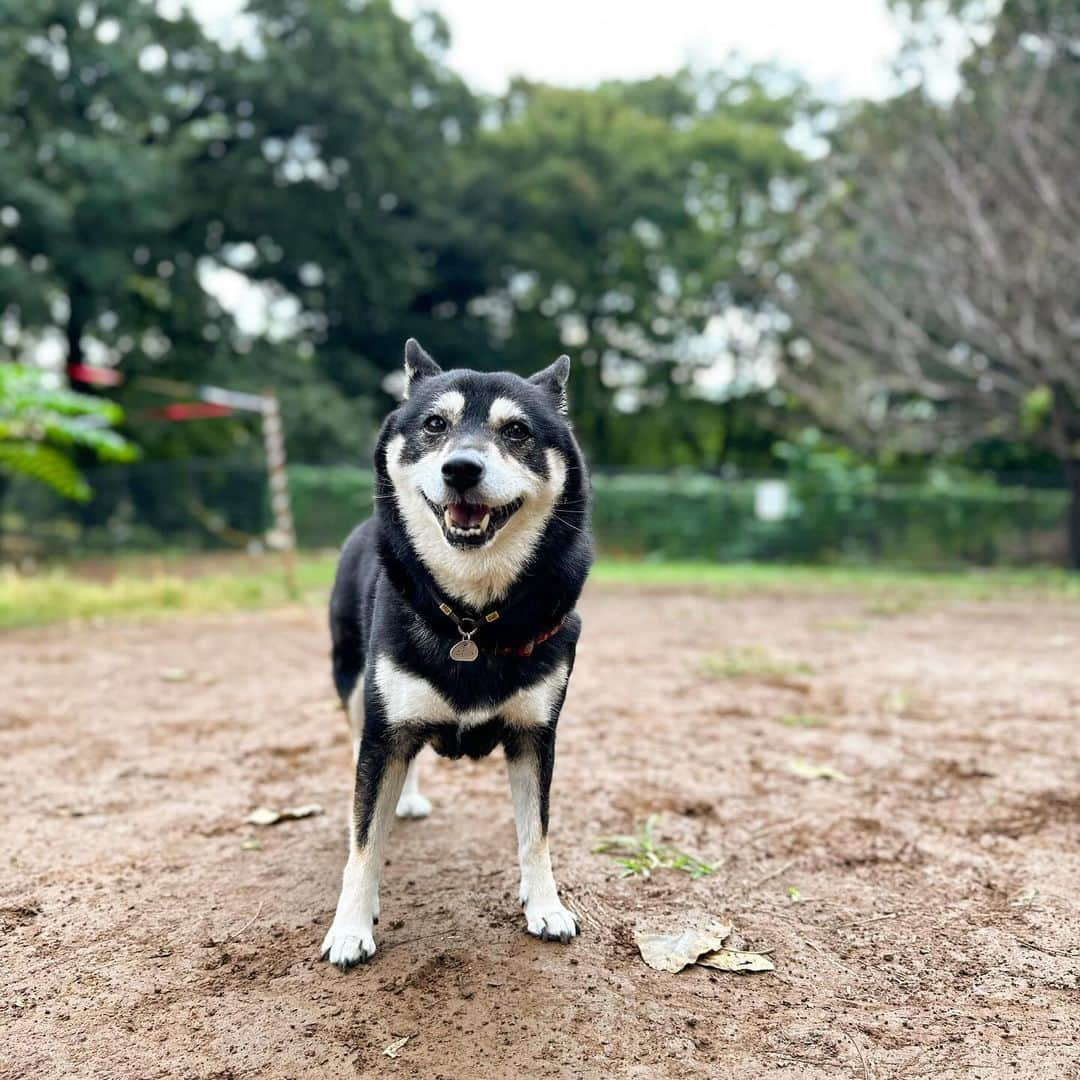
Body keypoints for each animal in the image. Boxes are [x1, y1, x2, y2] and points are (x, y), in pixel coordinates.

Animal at [321, 339, 591, 972]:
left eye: (516, 431)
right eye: (434, 425)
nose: (461, 468)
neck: (471, 616)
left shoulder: (535, 736)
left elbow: (536, 832)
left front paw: (545, 904)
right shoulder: (385, 728)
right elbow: (364, 842)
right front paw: (350, 925)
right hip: (355, 685)